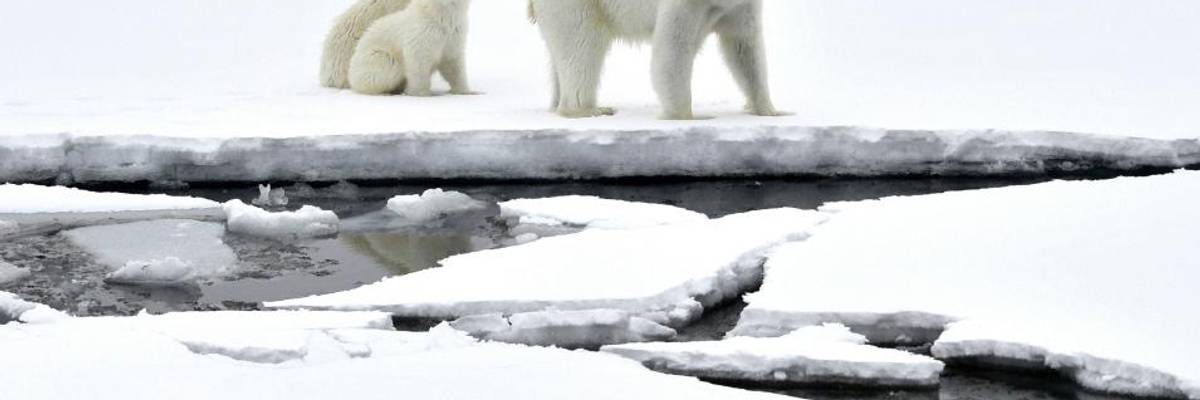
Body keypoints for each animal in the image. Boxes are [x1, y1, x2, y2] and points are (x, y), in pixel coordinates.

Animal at [528, 0, 784, 120]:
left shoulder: (740, 6)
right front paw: (687, 116)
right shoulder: (687, 5)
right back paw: (590, 109)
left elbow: (744, 46)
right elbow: (673, 48)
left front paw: (770, 110)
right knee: (584, 45)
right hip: (576, 6)